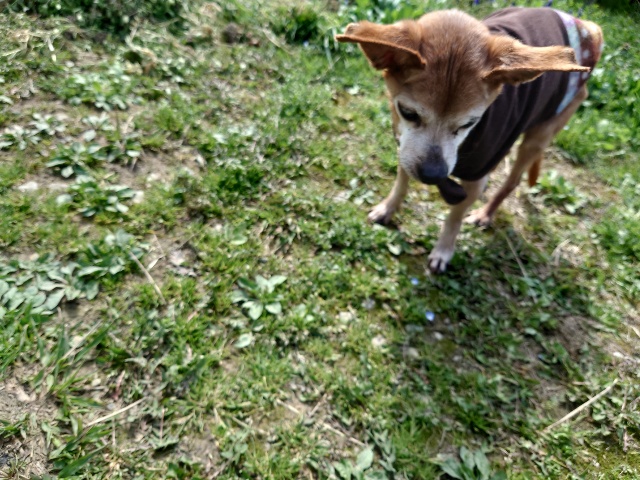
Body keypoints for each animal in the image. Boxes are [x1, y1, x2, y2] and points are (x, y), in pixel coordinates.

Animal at [336, 7, 603, 272]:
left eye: (469, 123)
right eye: (408, 113)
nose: (433, 175)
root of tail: (585, 25)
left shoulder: (474, 181)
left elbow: (454, 218)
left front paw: (443, 250)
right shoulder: (407, 150)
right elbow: (401, 183)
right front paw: (388, 208)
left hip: (538, 137)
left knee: (512, 181)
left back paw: (485, 214)